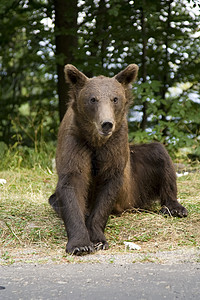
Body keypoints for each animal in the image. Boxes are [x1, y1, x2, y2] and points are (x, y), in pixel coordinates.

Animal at [48, 63, 188, 255]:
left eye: (115, 99)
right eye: (93, 99)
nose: (106, 123)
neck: (95, 141)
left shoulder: (115, 144)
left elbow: (109, 183)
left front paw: (97, 239)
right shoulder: (75, 142)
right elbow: (72, 182)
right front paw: (80, 244)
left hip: (135, 182)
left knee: (159, 153)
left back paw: (175, 208)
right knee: (55, 200)